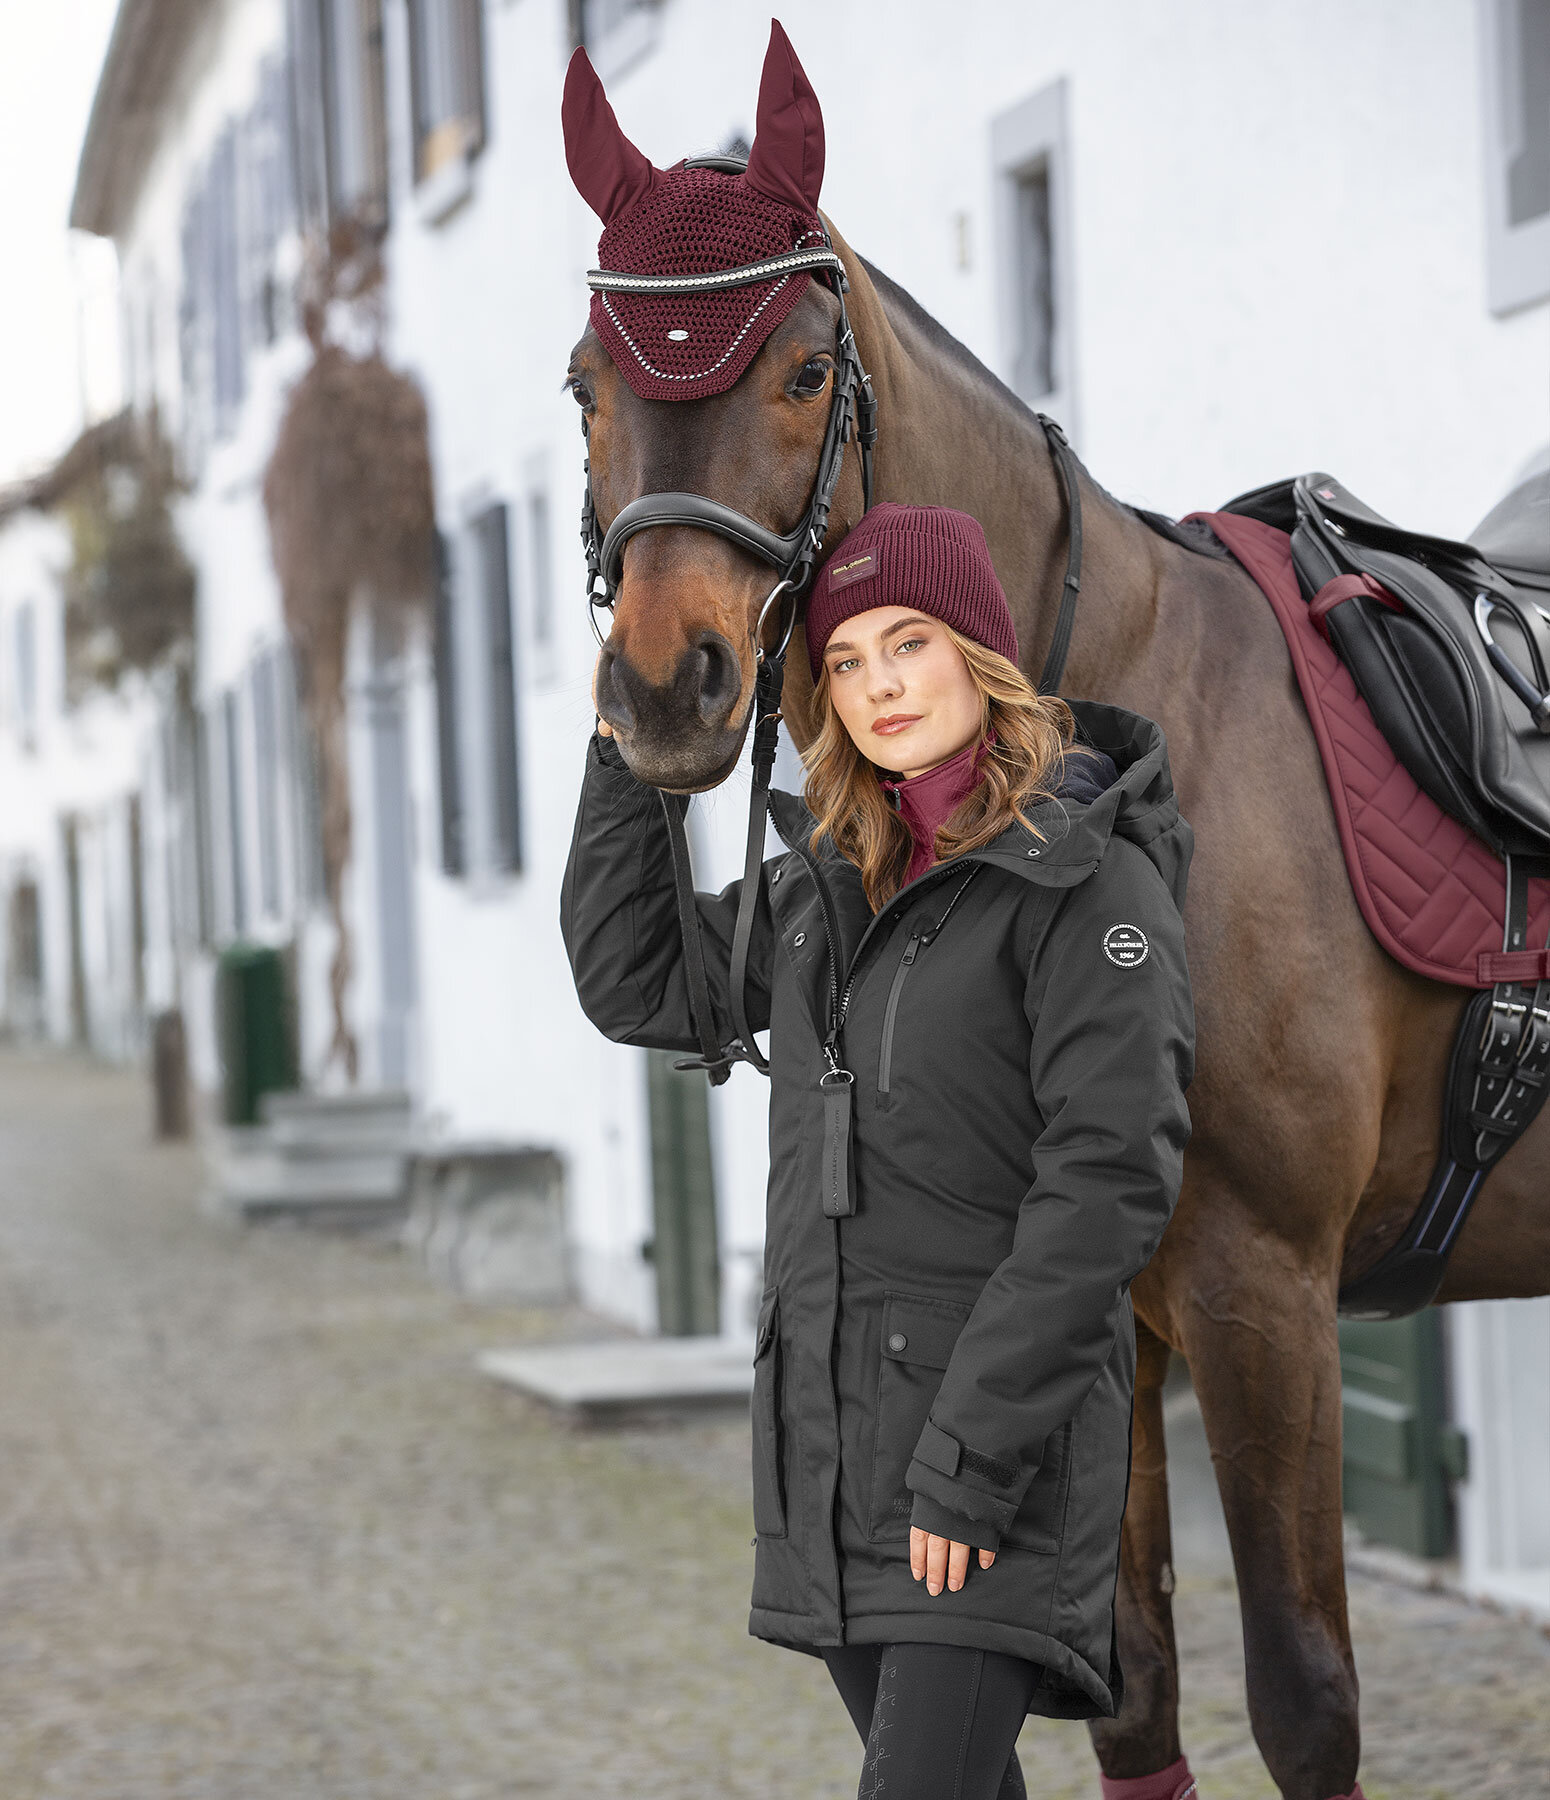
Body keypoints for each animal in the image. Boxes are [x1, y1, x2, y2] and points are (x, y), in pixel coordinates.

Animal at [565, 136, 1548, 1800]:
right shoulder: (1109, 1327)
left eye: (804, 369)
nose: (660, 683)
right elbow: (1131, 1692)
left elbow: (1302, 1700)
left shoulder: (1260, 1295)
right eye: (583, 382)